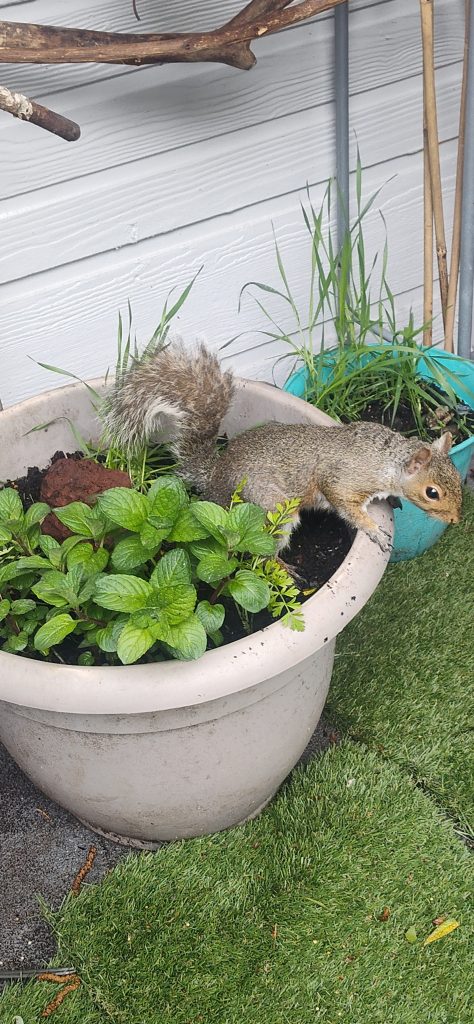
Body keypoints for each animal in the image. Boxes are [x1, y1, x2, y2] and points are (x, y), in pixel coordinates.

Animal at [103, 340, 462, 553]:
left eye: (459, 479)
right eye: (432, 493)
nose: (456, 520)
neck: (387, 460)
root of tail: (215, 477)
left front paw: (392, 502)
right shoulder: (343, 480)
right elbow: (345, 505)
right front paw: (373, 530)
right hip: (270, 506)